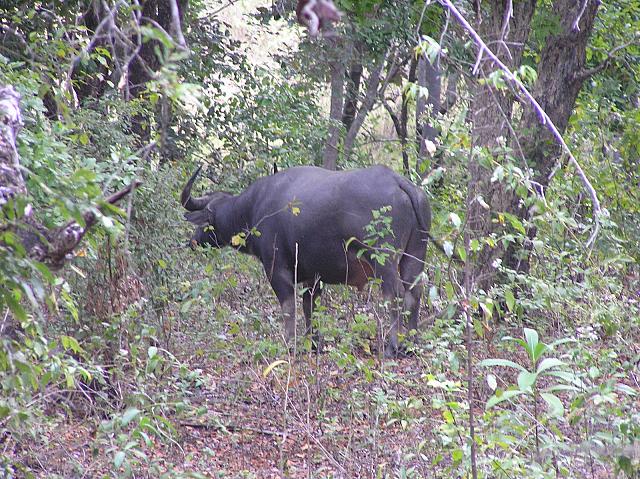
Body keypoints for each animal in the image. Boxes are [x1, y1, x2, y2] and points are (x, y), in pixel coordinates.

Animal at [180, 166, 432, 356]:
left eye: (207, 221)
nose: (193, 241)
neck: (254, 208)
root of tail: (398, 181)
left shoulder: (276, 268)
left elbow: (289, 306)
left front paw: (289, 344)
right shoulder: (313, 275)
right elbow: (310, 306)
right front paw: (314, 343)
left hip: (383, 258)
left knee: (395, 293)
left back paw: (392, 347)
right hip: (415, 254)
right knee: (415, 290)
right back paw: (412, 343)